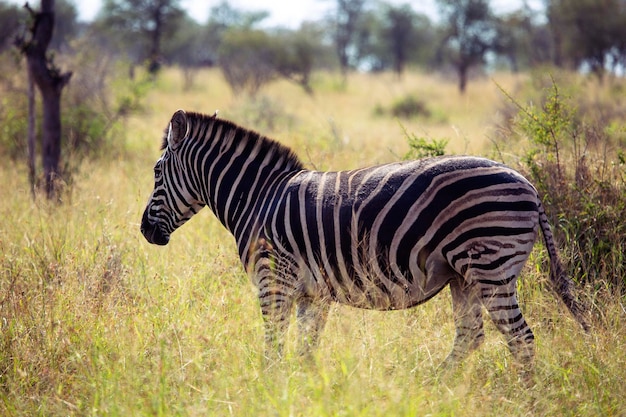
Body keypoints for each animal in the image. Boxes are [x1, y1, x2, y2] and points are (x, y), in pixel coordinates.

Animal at [140, 109, 584, 370]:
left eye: (157, 173)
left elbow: (273, 346)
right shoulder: (311, 293)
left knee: (521, 339)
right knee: (472, 335)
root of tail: (530, 186)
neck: (259, 197)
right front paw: (304, 391)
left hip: (491, 266)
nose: (145, 231)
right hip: (465, 275)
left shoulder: (273, 281)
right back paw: (438, 385)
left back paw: (527, 400)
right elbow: (305, 350)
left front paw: (272, 388)